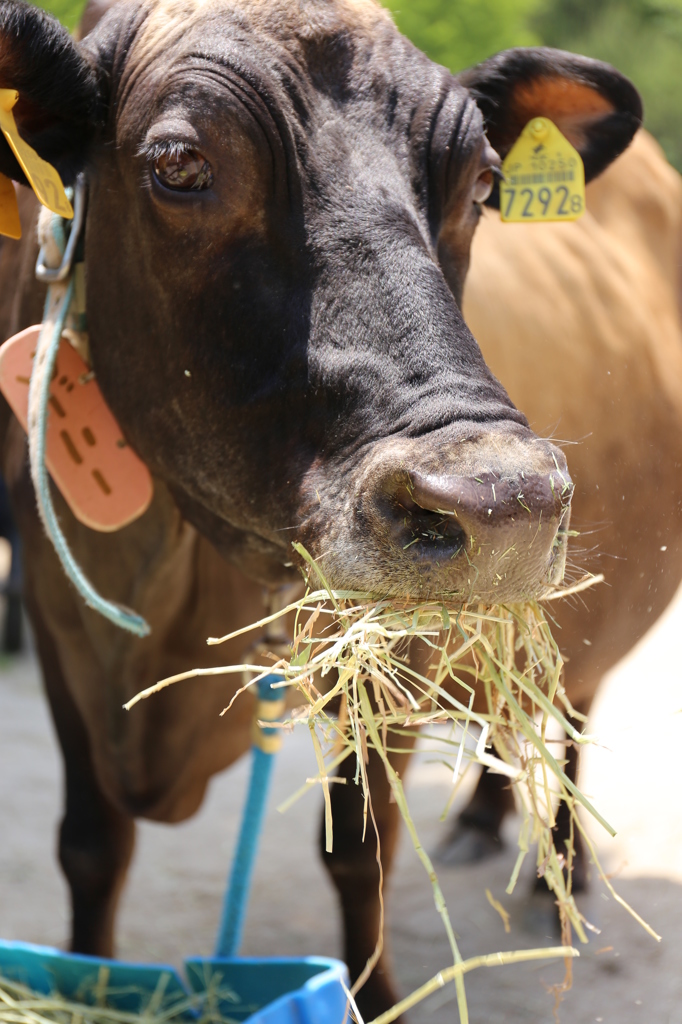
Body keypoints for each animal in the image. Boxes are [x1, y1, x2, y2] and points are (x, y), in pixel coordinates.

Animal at [0, 0, 643, 1015]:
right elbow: (91, 846)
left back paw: (560, 871)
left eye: (483, 182)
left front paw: (369, 997)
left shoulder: (394, 657)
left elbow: (360, 849)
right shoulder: (58, 620)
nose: (503, 503)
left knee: (568, 705)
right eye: (179, 164)